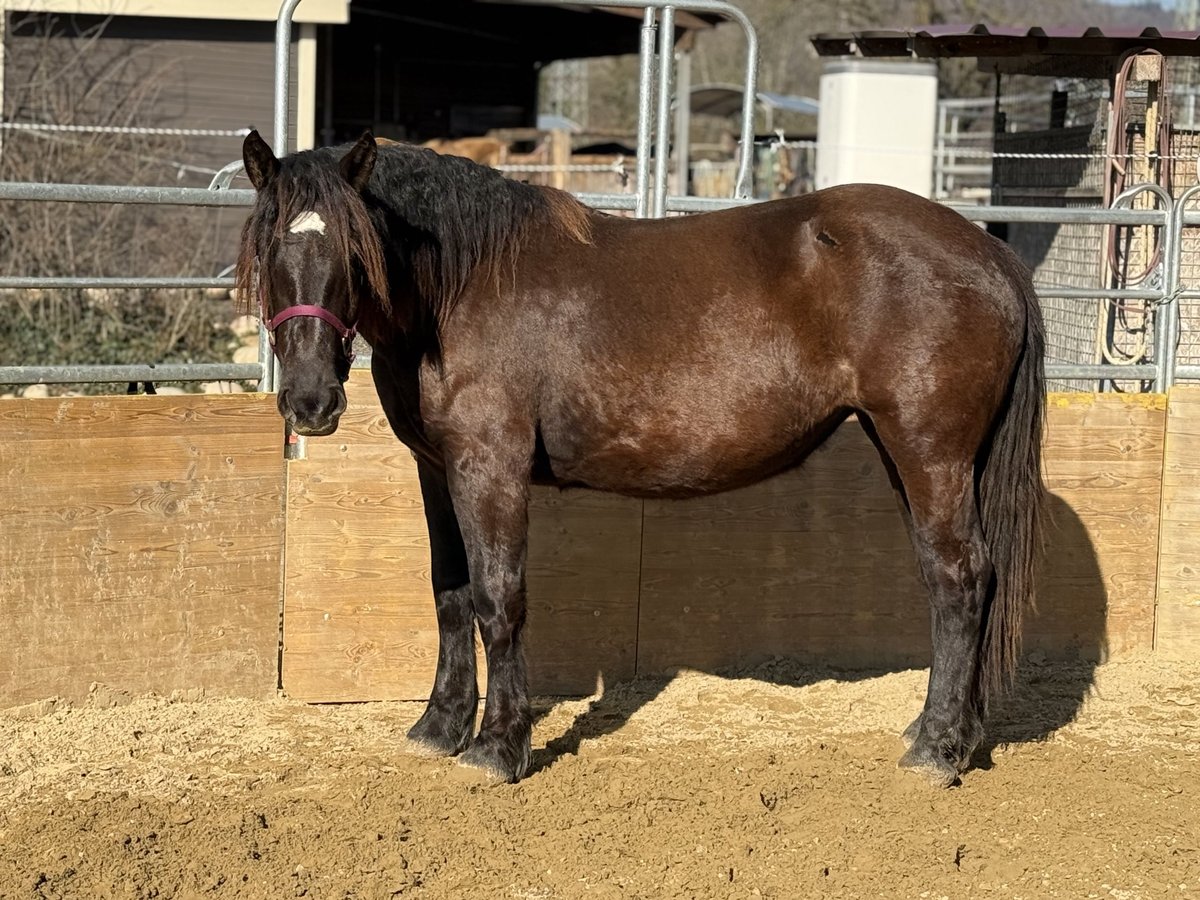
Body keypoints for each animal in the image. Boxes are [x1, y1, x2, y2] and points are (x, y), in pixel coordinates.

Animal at [238, 127, 1046, 787]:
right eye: (271, 248)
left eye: (353, 251)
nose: (309, 402)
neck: (463, 287)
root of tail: (992, 252)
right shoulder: (437, 470)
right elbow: (451, 595)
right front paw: (438, 728)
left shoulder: (490, 466)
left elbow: (499, 599)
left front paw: (499, 748)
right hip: (914, 453)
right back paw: (944, 733)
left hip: (929, 453)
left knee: (959, 579)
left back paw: (938, 750)